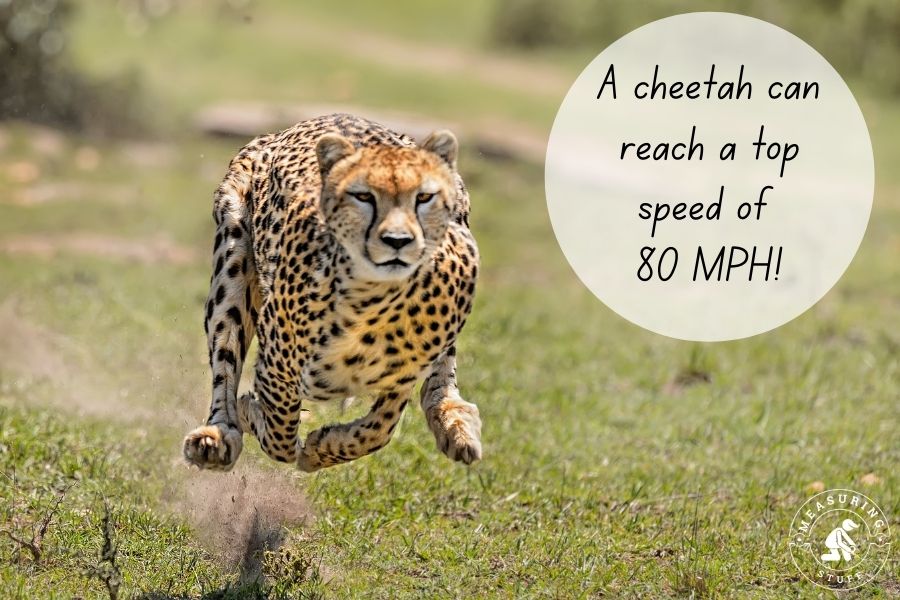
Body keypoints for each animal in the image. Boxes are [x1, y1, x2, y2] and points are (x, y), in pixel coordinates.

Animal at [182, 113, 481, 473]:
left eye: (423, 198)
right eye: (363, 197)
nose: (397, 240)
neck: (375, 303)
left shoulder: (403, 374)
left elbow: (379, 429)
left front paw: (322, 448)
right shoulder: (277, 365)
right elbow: (280, 433)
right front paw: (253, 414)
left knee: (440, 378)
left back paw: (455, 424)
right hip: (232, 259)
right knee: (225, 359)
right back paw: (217, 435)